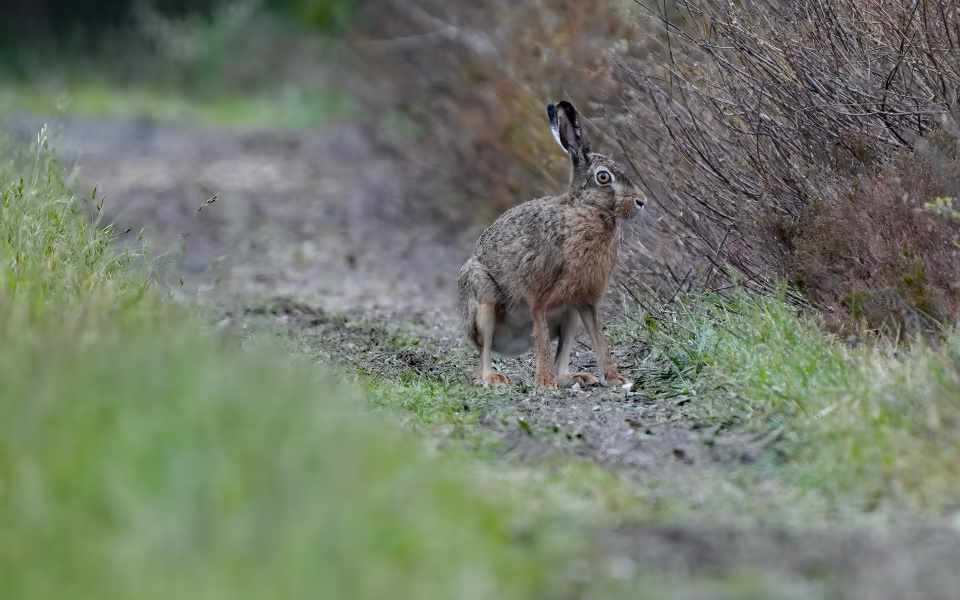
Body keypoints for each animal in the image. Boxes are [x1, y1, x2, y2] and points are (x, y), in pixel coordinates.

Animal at [457, 100, 646, 388]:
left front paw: (615, 378)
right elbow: (543, 339)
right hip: (482, 298)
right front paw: (545, 383)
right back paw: (494, 377)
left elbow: (599, 340)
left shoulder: (585, 300)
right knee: (483, 356)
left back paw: (575, 377)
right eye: (604, 178)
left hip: (570, 316)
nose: (641, 202)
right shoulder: (539, 298)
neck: (586, 211)